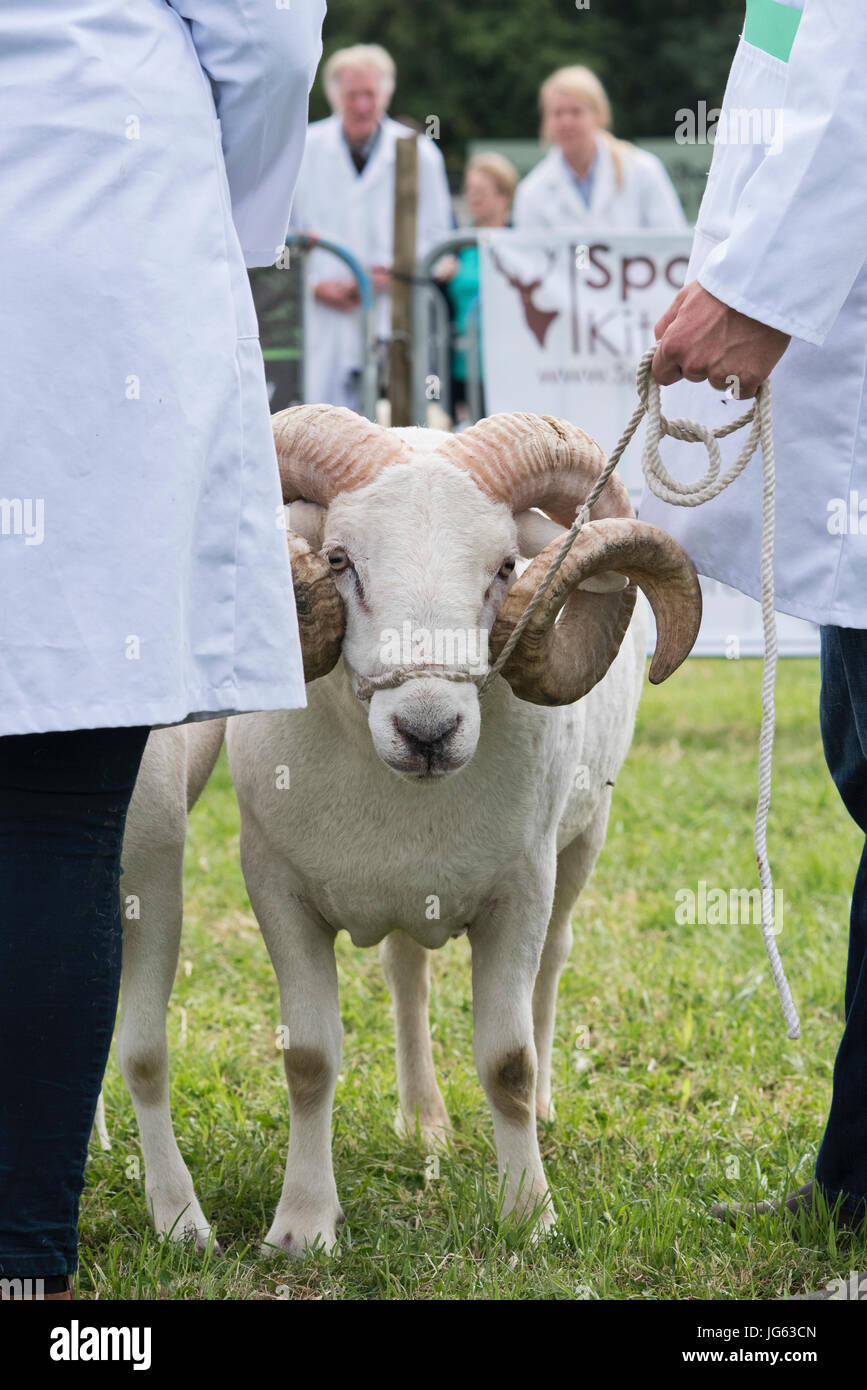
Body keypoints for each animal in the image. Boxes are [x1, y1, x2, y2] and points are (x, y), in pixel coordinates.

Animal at [115, 405, 701, 1255]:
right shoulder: (278, 889)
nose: (428, 731)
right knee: (406, 976)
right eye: (339, 560)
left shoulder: (519, 892)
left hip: (581, 843)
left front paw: (529, 1215)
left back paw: (541, 1109)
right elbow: (309, 1060)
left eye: (504, 566)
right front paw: (303, 1225)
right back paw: (423, 1121)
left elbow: (508, 1062)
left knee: (552, 968)